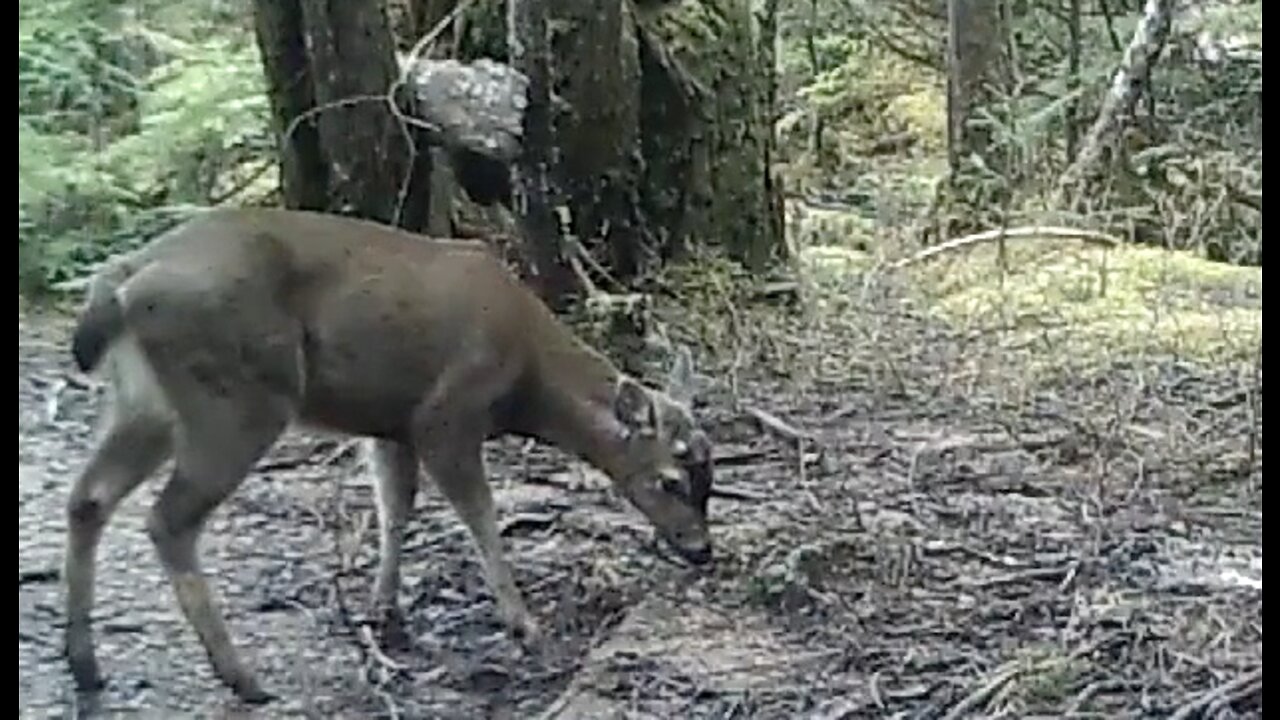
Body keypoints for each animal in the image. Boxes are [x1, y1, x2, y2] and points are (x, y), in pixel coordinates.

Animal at [60, 206, 716, 702]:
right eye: (670, 479)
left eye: (709, 475)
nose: (703, 551)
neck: (528, 377)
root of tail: (120, 284)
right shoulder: (445, 414)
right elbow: (480, 514)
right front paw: (525, 625)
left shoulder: (389, 425)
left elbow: (394, 508)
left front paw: (385, 614)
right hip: (237, 396)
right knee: (168, 519)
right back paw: (242, 677)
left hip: (145, 403)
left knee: (89, 497)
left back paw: (85, 663)